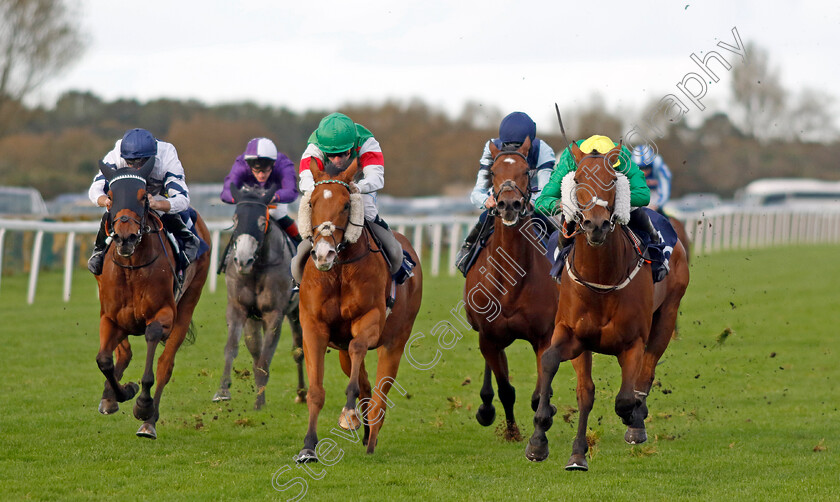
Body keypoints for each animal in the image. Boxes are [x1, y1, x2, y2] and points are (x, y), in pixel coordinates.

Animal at [95, 160, 212, 440]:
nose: (125, 237)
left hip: (188, 302)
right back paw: (109, 397)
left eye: (143, 196)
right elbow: (104, 359)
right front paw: (122, 391)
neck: (131, 268)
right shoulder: (110, 317)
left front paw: (143, 405)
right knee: (123, 352)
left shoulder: (163, 314)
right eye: (111, 195)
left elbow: (152, 344)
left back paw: (149, 422)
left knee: (165, 365)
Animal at [213, 182, 308, 410]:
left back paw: (302, 394)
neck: (256, 269)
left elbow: (265, 359)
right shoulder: (239, 309)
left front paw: (258, 402)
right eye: (235, 220)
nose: (243, 261)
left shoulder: (274, 314)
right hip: (253, 319)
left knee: (298, 349)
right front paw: (223, 390)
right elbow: (234, 348)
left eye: (261, 221)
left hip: (296, 311)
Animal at [296, 159, 426, 460]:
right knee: (366, 383)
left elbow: (359, 349)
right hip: (343, 350)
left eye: (346, 204)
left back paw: (371, 438)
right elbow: (316, 391)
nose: (324, 254)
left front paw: (348, 412)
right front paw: (308, 447)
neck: (340, 271)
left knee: (380, 392)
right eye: (312, 203)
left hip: (395, 343)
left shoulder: (370, 320)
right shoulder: (314, 327)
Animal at [466, 137, 556, 440]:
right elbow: (506, 389)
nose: (508, 204)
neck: (510, 281)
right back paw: (485, 407)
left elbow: (539, 394)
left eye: (526, 171)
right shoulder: (489, 337)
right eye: (492, 172)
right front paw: (512, 432)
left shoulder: (544, 336)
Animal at [524, 142, 688, 470]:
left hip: (667, 314)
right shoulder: (572, 335)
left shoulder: (632, 342)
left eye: (613, 181)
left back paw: (637, 421)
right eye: (577, 181)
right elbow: (560, 371)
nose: (596, 224)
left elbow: (625, 397)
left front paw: (634, 418)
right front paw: (546, 442)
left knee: (647, 371)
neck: (601, 277)